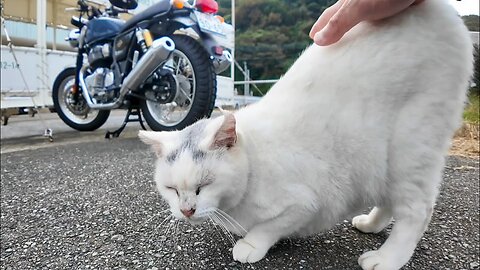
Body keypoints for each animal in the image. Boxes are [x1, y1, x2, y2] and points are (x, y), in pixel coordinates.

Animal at [138, 1, 472, 268]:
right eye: (171, 189)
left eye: (203, 186)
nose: (187, 211)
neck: (253, 167)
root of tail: (441, 11)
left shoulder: (304, 204)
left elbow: (268, 228)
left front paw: (250, 245)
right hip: (382, 164)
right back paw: (371, 224)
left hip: (409, 148)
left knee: (417, 211)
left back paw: (387, 258)